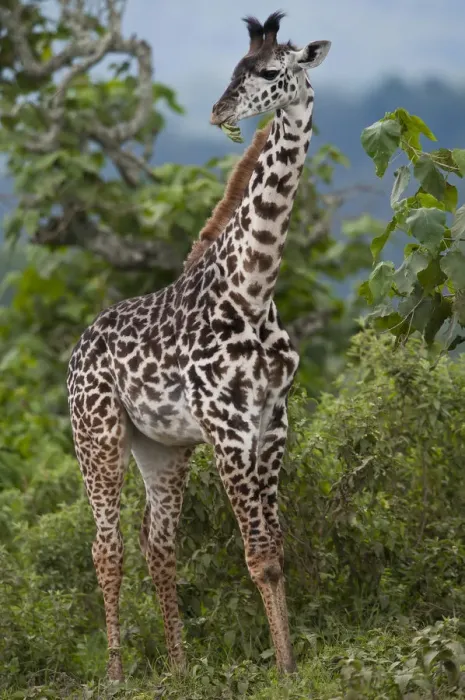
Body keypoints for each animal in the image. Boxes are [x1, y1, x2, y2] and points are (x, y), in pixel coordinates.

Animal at [67, 10, 330, 680]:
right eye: (235, 69)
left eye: (271, 70)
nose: (218, 110)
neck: (252, 290)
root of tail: (78, 348)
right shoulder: (226, 426)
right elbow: (257, 553)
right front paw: (284, 672)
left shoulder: (272, 420)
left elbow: (274, 549)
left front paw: (290, 665)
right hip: (97, 437)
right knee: (106, 546)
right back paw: (116, 675)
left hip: (162, 448)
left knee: (157, 543)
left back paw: (180, 667)